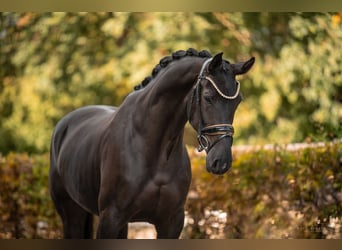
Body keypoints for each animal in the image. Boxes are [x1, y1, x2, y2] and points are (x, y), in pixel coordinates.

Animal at [49, 48, 255, 238]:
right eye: (208, 97)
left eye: (237, 101)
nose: (221, 162)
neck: (153, 150)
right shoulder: (110, 219)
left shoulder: (171, 222)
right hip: (72, 214)